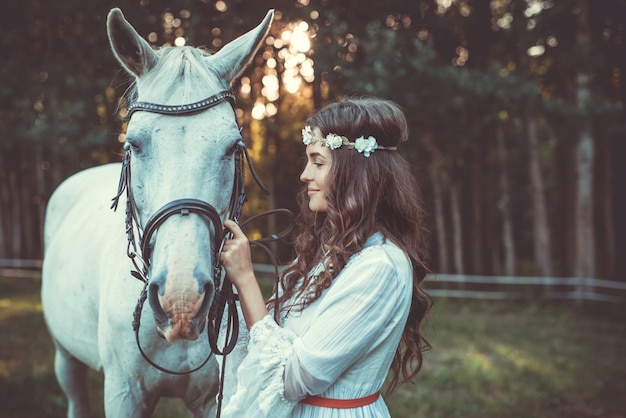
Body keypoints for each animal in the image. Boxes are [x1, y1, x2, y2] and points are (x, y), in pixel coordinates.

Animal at [40, 7, 272, 418]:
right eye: (133, 143)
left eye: (234, 146)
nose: (181, 300)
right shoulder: (124, 394)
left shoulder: (215, 398)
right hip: (66, 357)